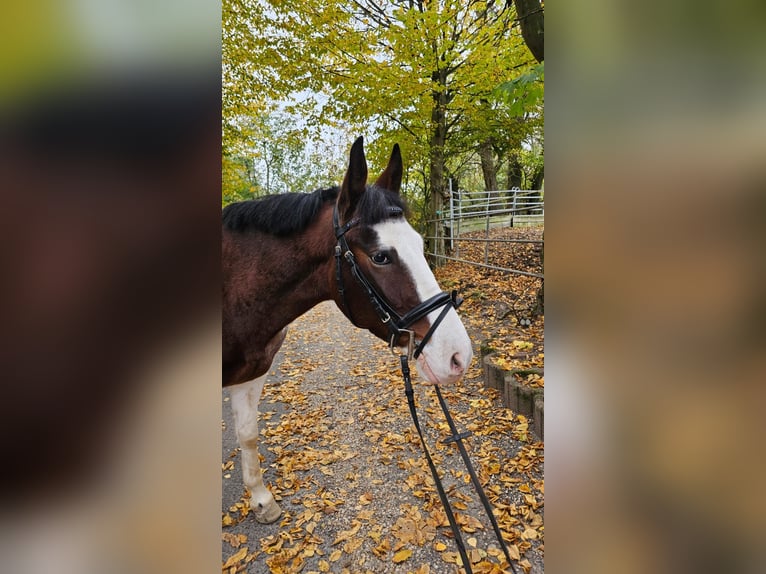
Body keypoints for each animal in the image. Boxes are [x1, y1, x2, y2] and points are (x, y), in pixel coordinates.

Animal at [222, 137, 474, 524]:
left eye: (420, 245)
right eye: (381, 256)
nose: (458, 356)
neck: (234, 290)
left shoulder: (252, 372)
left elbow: (247, 433)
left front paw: (262, 500)